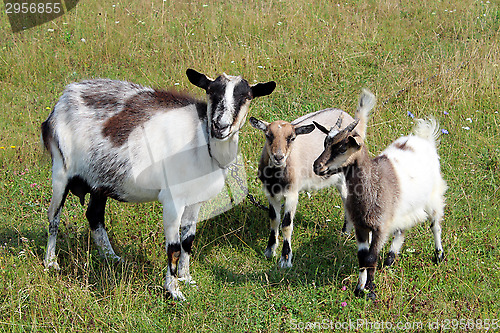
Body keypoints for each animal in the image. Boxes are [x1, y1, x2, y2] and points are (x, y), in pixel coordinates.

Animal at [42, 68, 278, 300]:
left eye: (246, 96)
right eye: (211, 91)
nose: (220, 126)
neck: (200, 141)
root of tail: (64, 98)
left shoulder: (195, 200)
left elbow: (188, 241)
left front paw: (186, 278)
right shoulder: (173, 200)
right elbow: (173, 247)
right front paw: (173, 291)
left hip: (99, 179)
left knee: (95, 215)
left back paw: (111, 257)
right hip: (61, 169)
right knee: (54, 217)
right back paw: (50, 262)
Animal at [250, 94, 376, 266]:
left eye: (292, 138)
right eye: (268, 135)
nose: (278, 157)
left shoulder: (292, 194)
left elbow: (286, 225)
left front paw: (285, 259)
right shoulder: (271, 194)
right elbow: (274, 220)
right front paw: (269, 251)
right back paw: (344, 233)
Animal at [314, 89, 448, 298]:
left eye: (343, 147)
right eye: (324, 143)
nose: (317, 166)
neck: (373, 184)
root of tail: (423, 138)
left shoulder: (380, 226)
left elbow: (371, 257)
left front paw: (370, 290)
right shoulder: (361, 225)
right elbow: (362, 257)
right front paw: (359, 288)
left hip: (433, 196)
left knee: (435, 225)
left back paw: (439, 255)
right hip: (402, 208)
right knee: (401, 230)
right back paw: (391, 259)